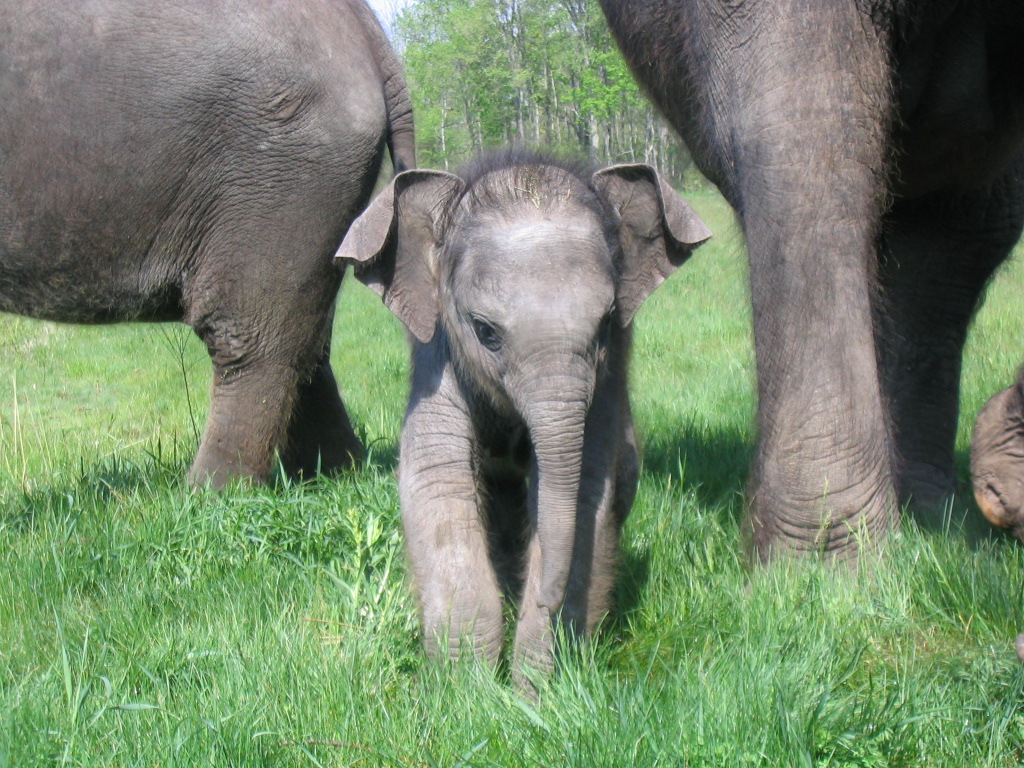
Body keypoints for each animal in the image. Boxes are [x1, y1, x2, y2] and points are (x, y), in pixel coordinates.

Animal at [4, 0, 411, 489]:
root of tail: (368, 29)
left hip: (280, 173)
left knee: (250, 334)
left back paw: (211, 494)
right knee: (307, 338)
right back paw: (335, 473)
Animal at [339, 153, 708, 688]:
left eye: (606, 321)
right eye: (485, 331)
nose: (544, 599)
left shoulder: (608, 375)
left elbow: (587, 489)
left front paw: (533, 690)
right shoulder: (436, 353)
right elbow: (438, 481)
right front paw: (467, 691)